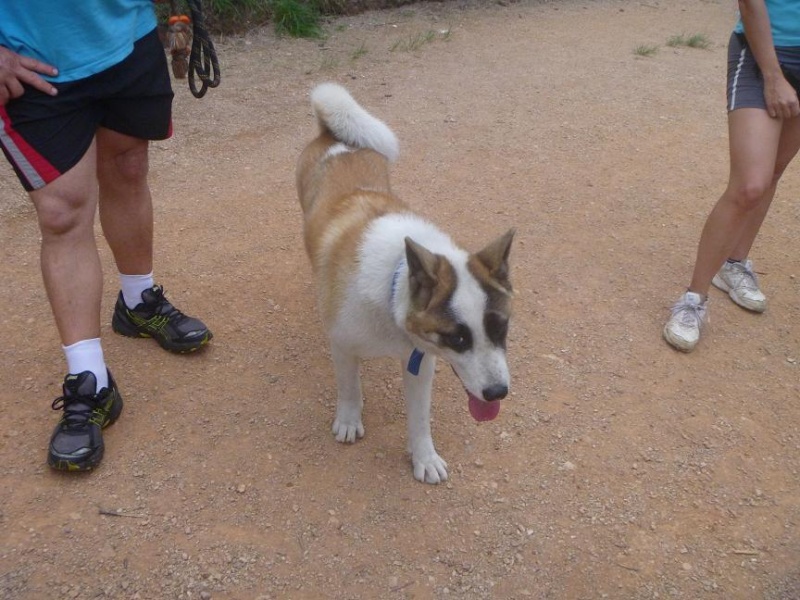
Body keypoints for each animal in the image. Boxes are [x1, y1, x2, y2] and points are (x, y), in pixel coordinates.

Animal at [296, 83, 516, 482]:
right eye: (458, 338)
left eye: (500, 329)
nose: (497, 393)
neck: (392, 285)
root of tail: (334, 135)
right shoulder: (343, 345)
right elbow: (349, 387)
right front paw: (349, 420)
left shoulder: (420, 362)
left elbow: (419, 419)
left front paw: (424, 457)